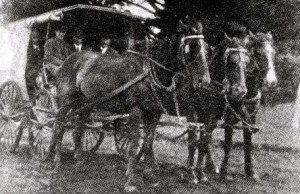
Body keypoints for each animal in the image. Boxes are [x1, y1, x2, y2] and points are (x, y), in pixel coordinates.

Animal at [48, 20, 210, 192]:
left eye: (206, 47)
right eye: (192, 46)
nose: (205, 81)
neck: (147, 72)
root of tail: (68, 60)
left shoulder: (153, 112)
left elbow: (147, 143)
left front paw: (150, 177)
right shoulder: (136, 112)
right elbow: (133, 146)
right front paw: (129, 182)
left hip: (86, 104)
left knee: (77, 131)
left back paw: (79, 165)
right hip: (65, 102)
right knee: (59, 126)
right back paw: (56, 162)